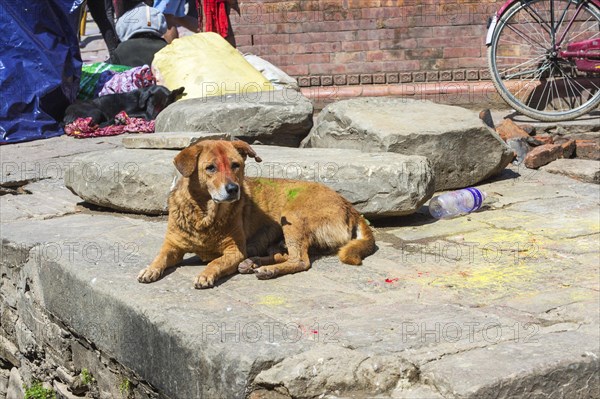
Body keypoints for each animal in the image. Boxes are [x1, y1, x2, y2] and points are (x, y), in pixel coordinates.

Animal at [138, 139, 378, 290]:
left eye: (236, 165)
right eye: (210, 168)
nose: (233, 189)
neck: (205, 214)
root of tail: (351, 207)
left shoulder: (234, 250)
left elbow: (215, 262)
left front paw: (206, 274)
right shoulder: (172, 246)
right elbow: (159, 258)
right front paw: (149, 270)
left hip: (292, 217)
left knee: (301, 260)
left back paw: (266, 270)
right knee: (286, 254)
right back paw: (253, 263)